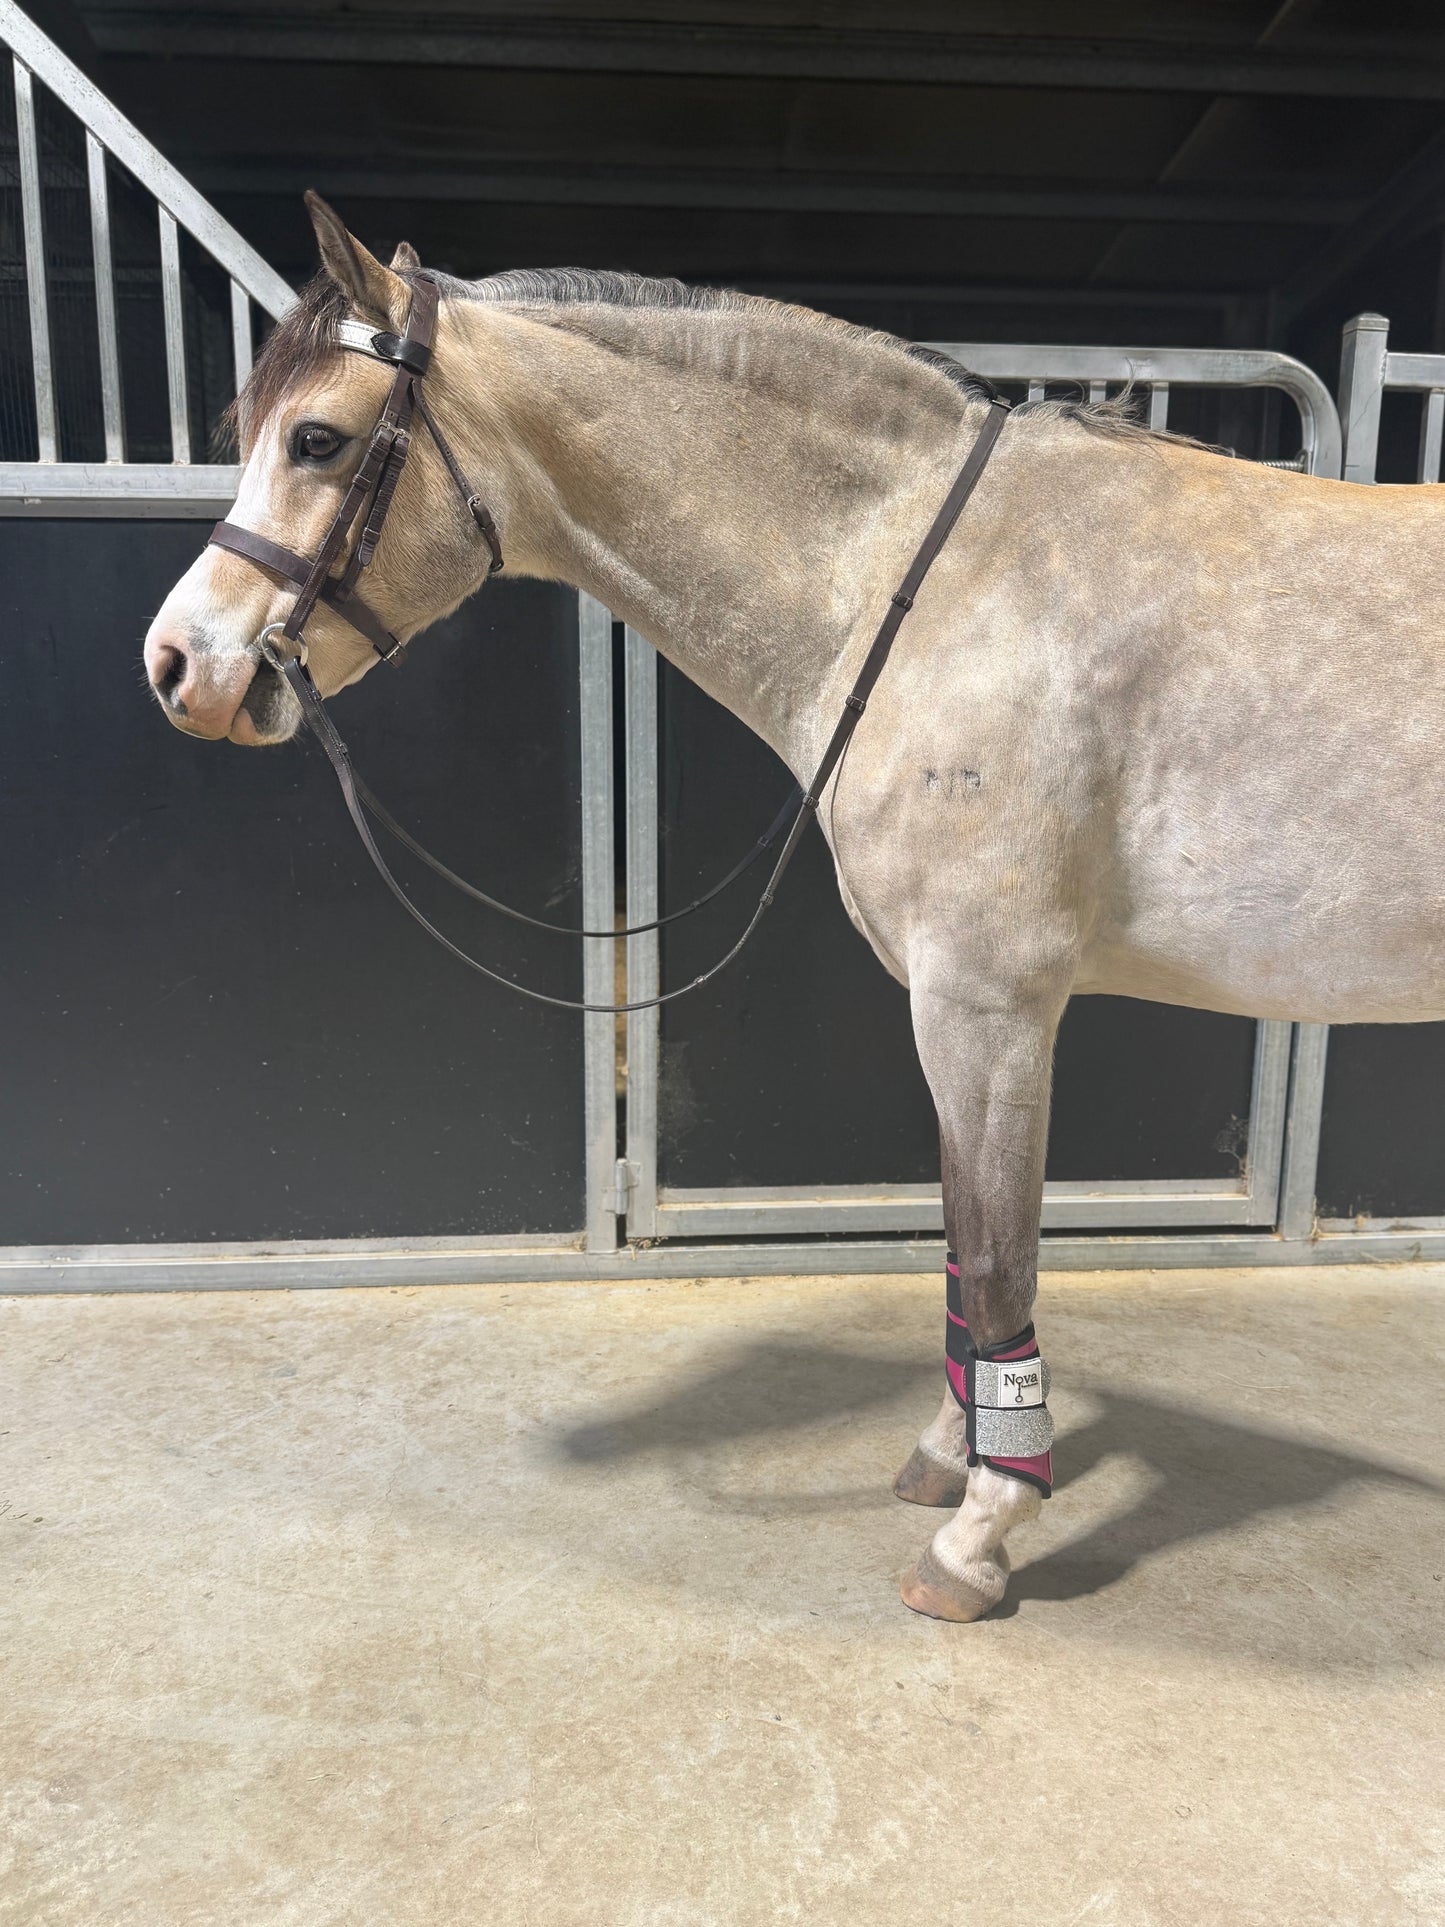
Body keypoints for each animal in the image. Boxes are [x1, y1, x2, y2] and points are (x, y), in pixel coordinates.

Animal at [144, 194, 1445, 1622]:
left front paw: (981, 1530)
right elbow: (960, 1246)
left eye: (316, 438)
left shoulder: (987, 1005)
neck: (928, 581)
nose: (177, 665)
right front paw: (951, 1457)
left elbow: (996, 1255)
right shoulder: (957, 1011)